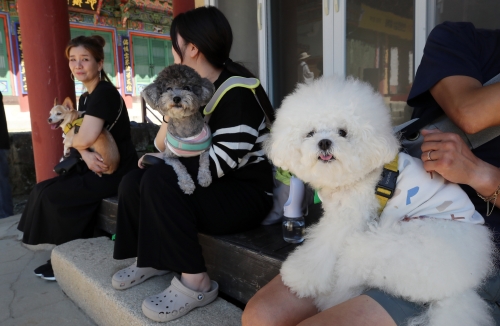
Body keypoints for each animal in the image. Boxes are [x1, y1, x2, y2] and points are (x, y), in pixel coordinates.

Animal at [141, 65, 215, 195]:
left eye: (186, 88)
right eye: (168, 88)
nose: (176, 98)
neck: (184, 126)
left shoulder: (206, 149)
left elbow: (204, 161)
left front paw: (204, 177)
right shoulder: (169, 156)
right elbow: (180, 167)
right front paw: (187, 185)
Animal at [266, 76, 496, 326]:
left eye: (343, 132)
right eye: (310, 133)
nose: (324, 142)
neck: (354, 177)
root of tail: (458, 291)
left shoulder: (347, 220)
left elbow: (321, 249)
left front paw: (299, 276)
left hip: (386, 246)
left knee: (351, 272)